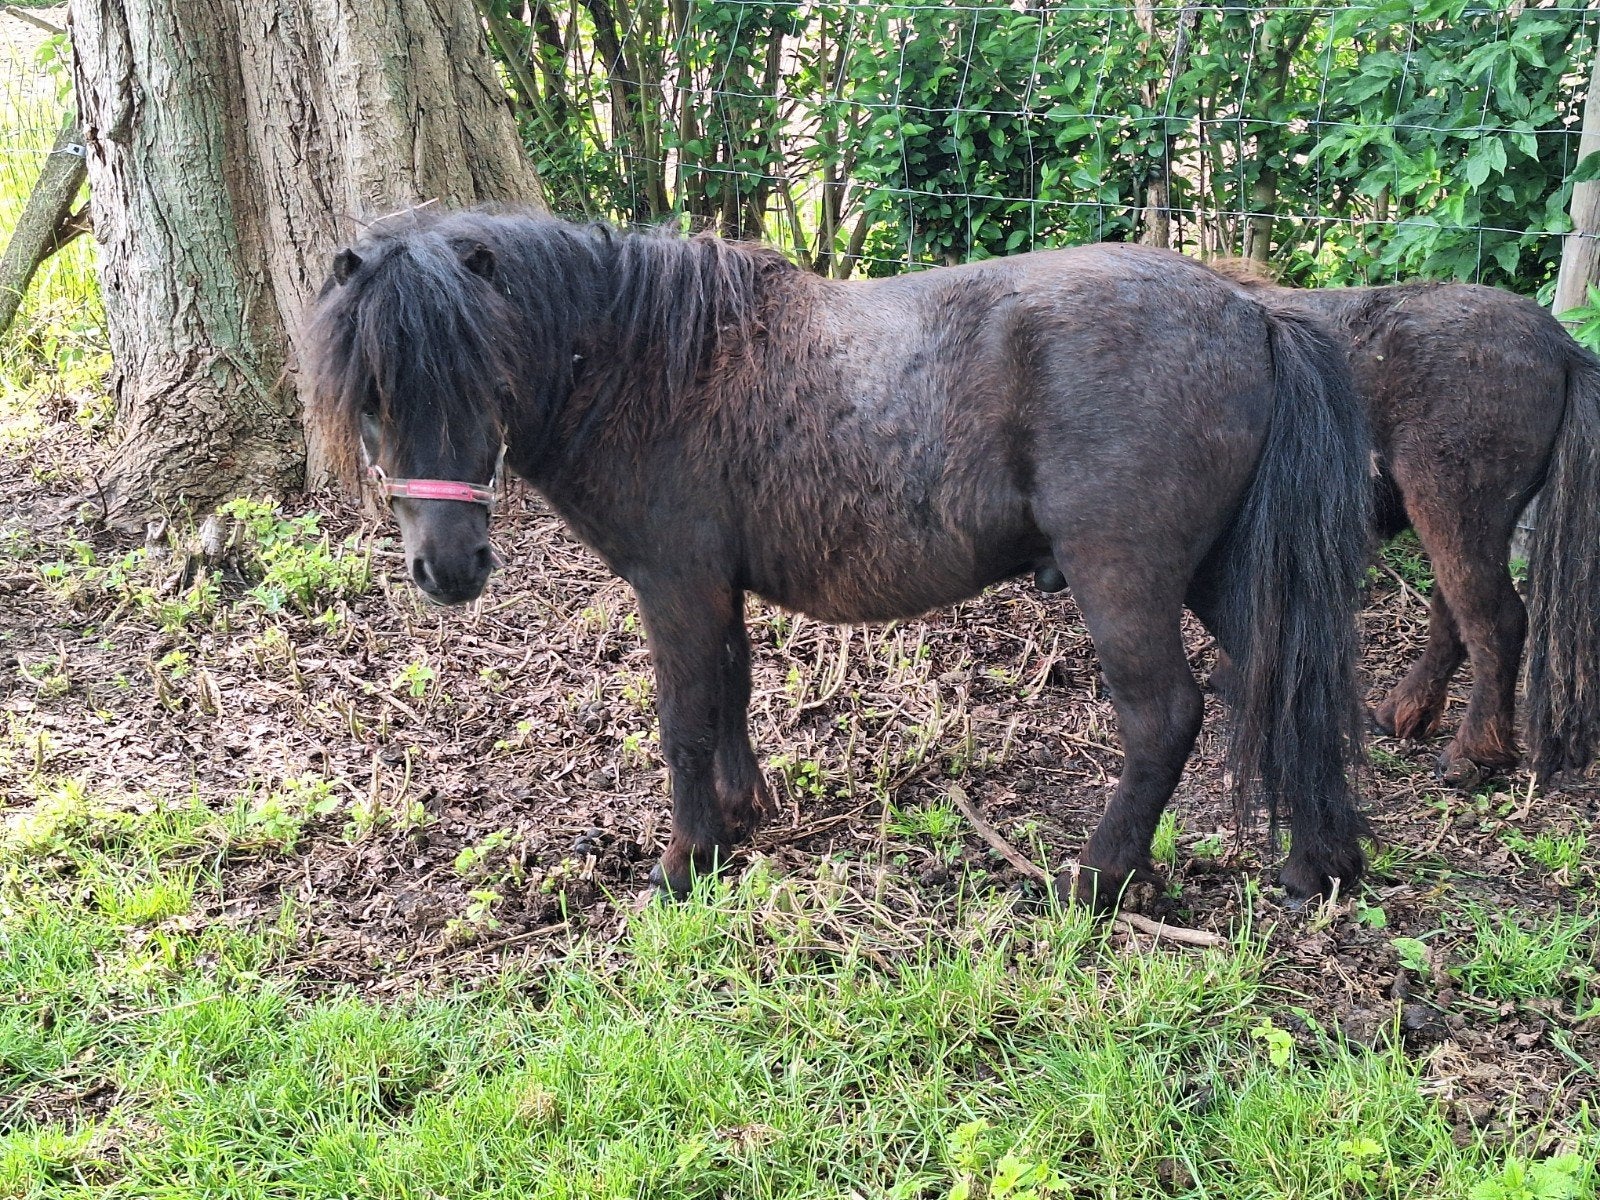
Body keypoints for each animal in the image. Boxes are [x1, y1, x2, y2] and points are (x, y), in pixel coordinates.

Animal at [304, 208, 1373, 907]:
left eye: (487, 374)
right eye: (373, 392)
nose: (449, 568)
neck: (655, 364)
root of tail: (1248, 312)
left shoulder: (674, 584)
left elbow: (684, 718)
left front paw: (685, 862)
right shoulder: (714, 587)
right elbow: (731, 693)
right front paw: (740, 815)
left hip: (1126, 581)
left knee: (1166, 716)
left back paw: (1095, 878)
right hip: (1219, 575)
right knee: (1287, 678)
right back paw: (1316, 864)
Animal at [1214, 268, 1600, 788]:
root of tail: (1561, 346)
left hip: (1449, 513)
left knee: (1496, 620)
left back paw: (1472, 755)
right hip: (1462, 528)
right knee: (1454, 617)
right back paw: (1402, 714)